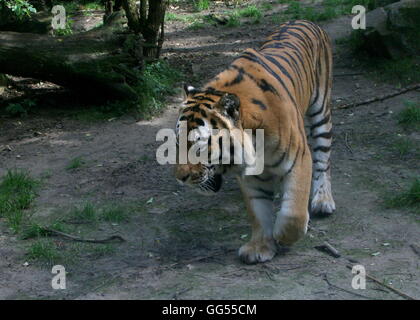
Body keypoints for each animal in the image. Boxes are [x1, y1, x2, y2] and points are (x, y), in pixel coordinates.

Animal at [174, 20, 334, 264]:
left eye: (199, 145)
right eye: (177, 142)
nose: (180, 178)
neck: (255, 141)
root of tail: (304, 20)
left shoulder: (298, 158)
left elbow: (293, 213)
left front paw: (282, 235)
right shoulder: (251, 175)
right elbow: (258, 211)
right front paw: (259, 247)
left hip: (321, 112)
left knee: (323, 160)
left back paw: (323, 201)